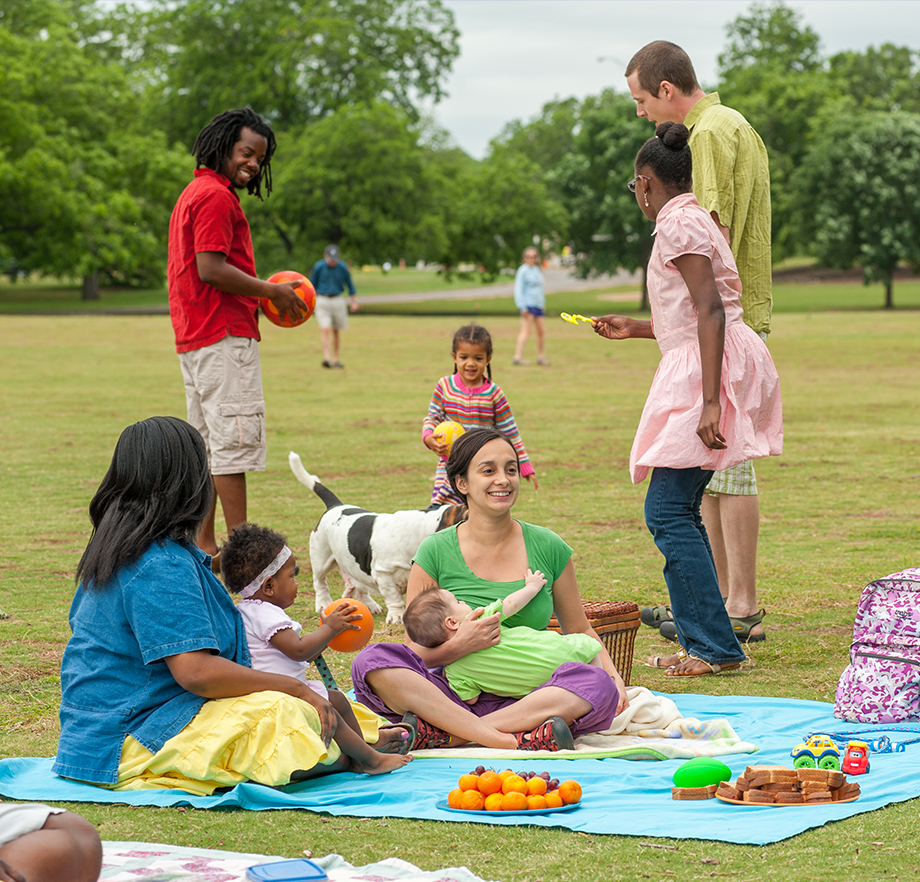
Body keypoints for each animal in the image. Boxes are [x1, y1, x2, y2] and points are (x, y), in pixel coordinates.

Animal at [290, 450, 468, 624]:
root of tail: (336, 505)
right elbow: (394, 598)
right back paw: (323, 603)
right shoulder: (384, 575)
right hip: (321, 558)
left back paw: (370, 605)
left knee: (358, 586)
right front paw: (397, 617)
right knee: (320, 582)